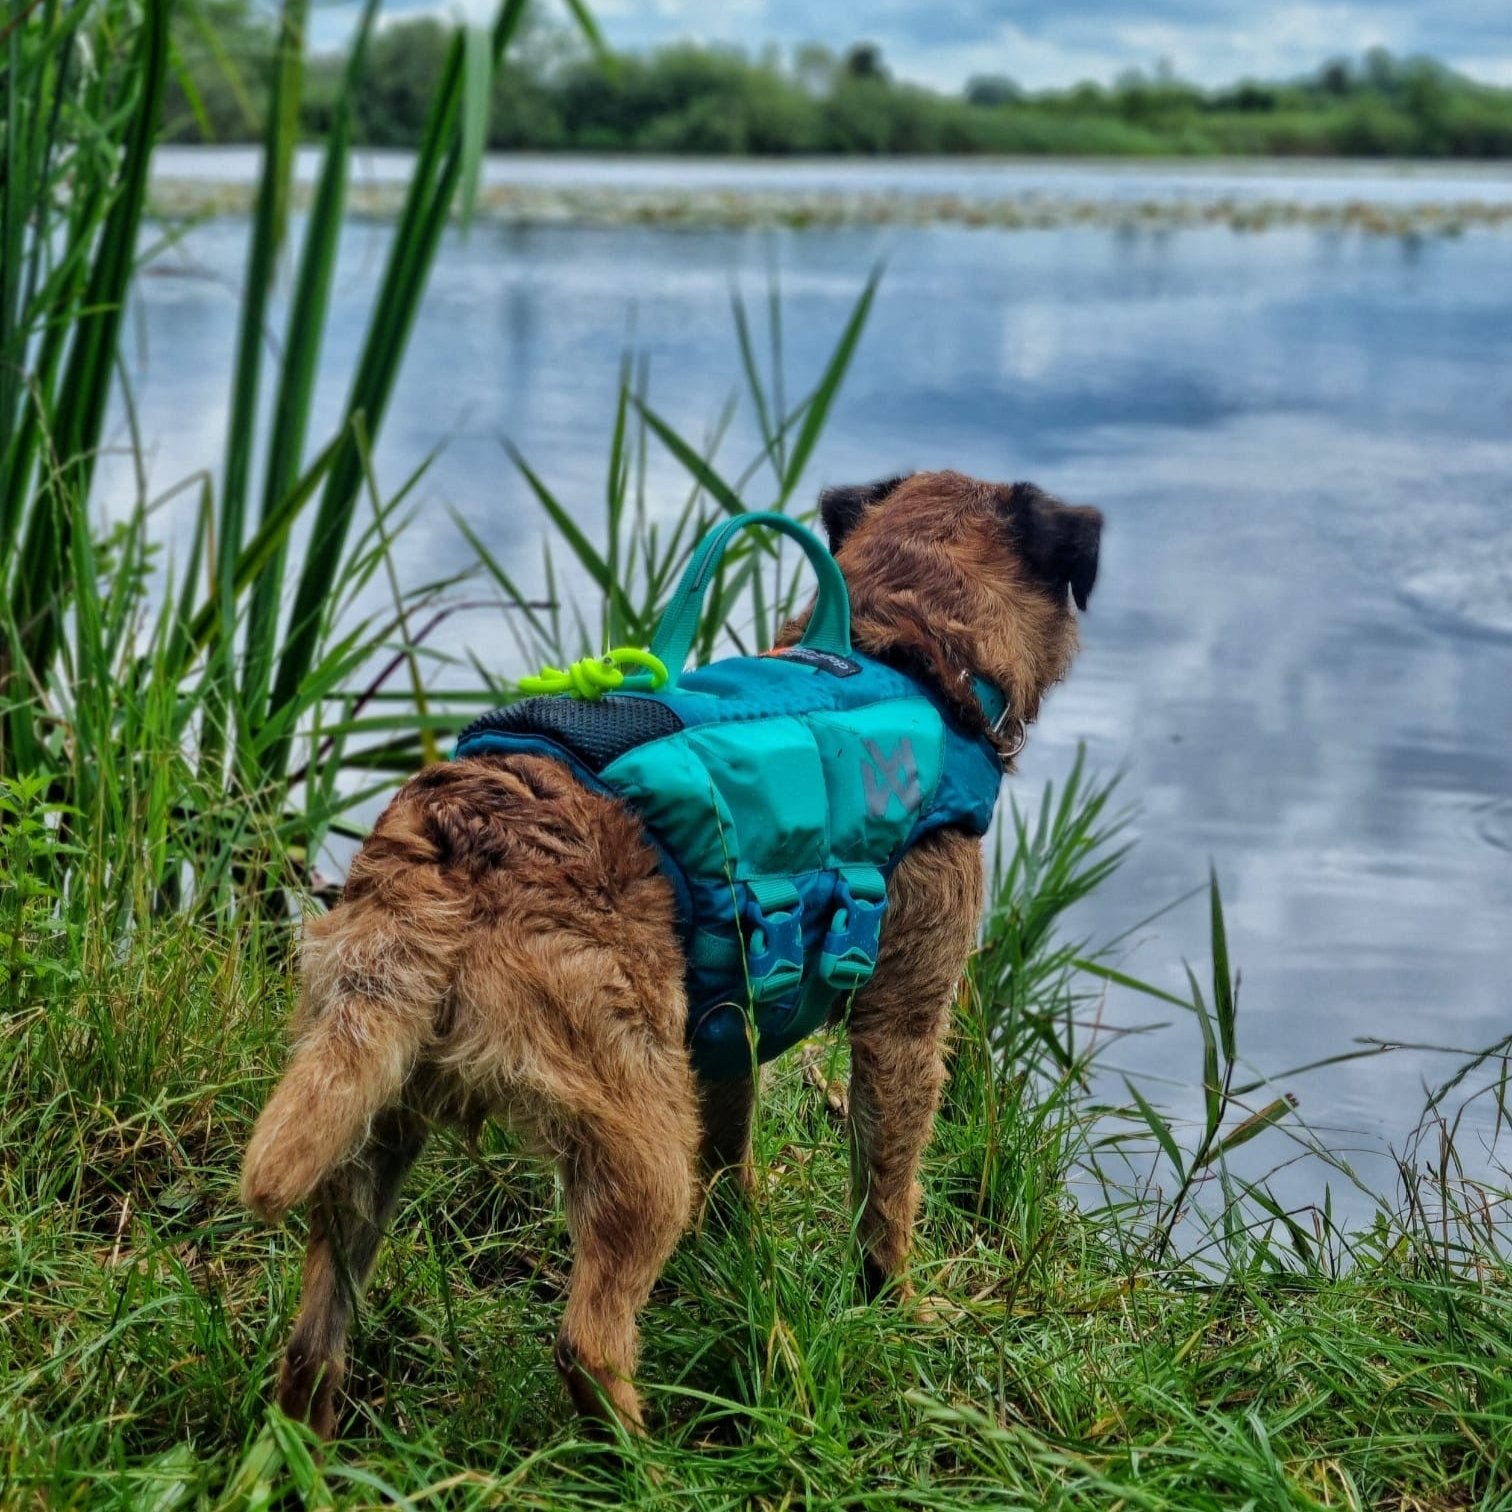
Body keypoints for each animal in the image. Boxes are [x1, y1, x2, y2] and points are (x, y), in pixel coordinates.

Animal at [241, 465, 1106, 1433]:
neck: (905, 651)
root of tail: (456, 836)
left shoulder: (727, 1032)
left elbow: (732, 1156)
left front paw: (736, 1252)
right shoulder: (905, 1024)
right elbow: (887, 1187)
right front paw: (896, 1303)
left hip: (363, 1122)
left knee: (316, 1340)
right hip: (639, 1138)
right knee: (588, 1339)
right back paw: (646, 1446)